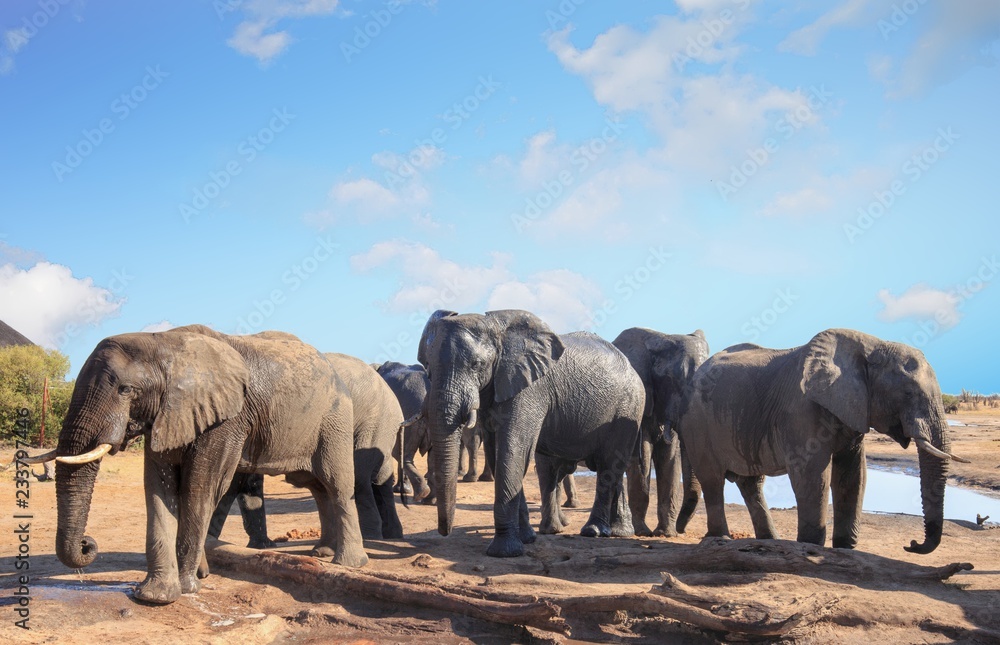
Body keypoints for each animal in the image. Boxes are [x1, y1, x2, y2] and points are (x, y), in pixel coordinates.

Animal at [40, 325, 369, 605]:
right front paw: (155, 594)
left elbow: (199, 488)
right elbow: (159, 489)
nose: (87, 544)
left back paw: (349, 562)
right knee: (317, 488)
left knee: (336, 485)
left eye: (125, 389)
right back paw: (322, 552)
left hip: (334, 419)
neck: (163, 342)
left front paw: (186, 588)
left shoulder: (227, 419)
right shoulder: (168, 415)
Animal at [418, 309, 645, 557]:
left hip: (629, 408)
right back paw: (618, 532)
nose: (444, 532)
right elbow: (496, 451)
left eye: (476, 365)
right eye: (427, 366)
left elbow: (514, 449)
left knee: (610, 465)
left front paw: (504, 552)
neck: (495, 327)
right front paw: (526, 539)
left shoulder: (530, 389)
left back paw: (594, 531)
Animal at [611, 327, 709, 537]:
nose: (682, 531)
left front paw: (665, 534)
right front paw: (643, 532)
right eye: (673, 379)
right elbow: (641, 462)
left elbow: (670, 460)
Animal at [676, 328, 968, 553]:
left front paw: (844, 548)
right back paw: (721, 539)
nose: (912, 544)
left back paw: (769, 541)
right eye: (908, 392)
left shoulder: (852, 411)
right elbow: (812, 475)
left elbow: (854, 475)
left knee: (751, 483)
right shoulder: (800, 411)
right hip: (698, 425)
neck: (871, 345)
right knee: (713, 480)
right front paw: (809, 547)